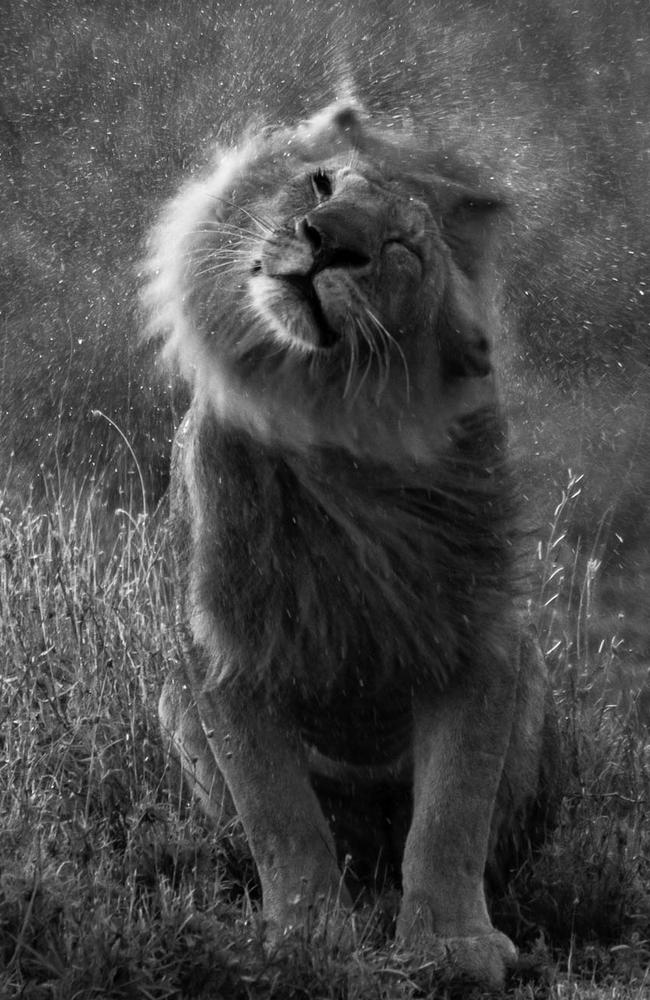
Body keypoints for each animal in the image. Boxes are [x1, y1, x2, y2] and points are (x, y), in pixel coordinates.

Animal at [144, 101, 560, 992]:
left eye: (400, 248)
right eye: (322, 184)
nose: (324, 240)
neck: (336, 431)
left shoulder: (481, 634)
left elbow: (453, 810)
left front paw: (452, 943)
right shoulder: (225, 647)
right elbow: (280, 814)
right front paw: (307, 938)